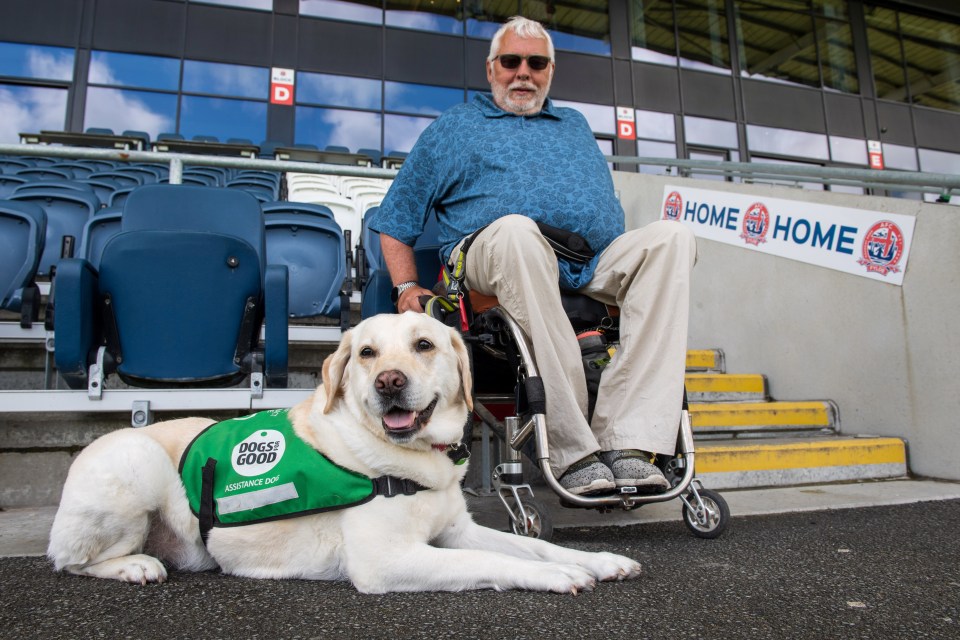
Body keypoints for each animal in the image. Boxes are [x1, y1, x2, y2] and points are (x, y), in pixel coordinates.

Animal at [48, 312, 640, 592]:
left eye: (424, 344)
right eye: (367, 352)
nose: (389, 382)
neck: (410, 457)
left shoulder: (457, 530)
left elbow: (533, 545)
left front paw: (596, 560)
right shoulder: (386, 560)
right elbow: (491, 560)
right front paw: (558, 576)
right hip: (136, 460)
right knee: (71, 561)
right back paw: (135, 566)